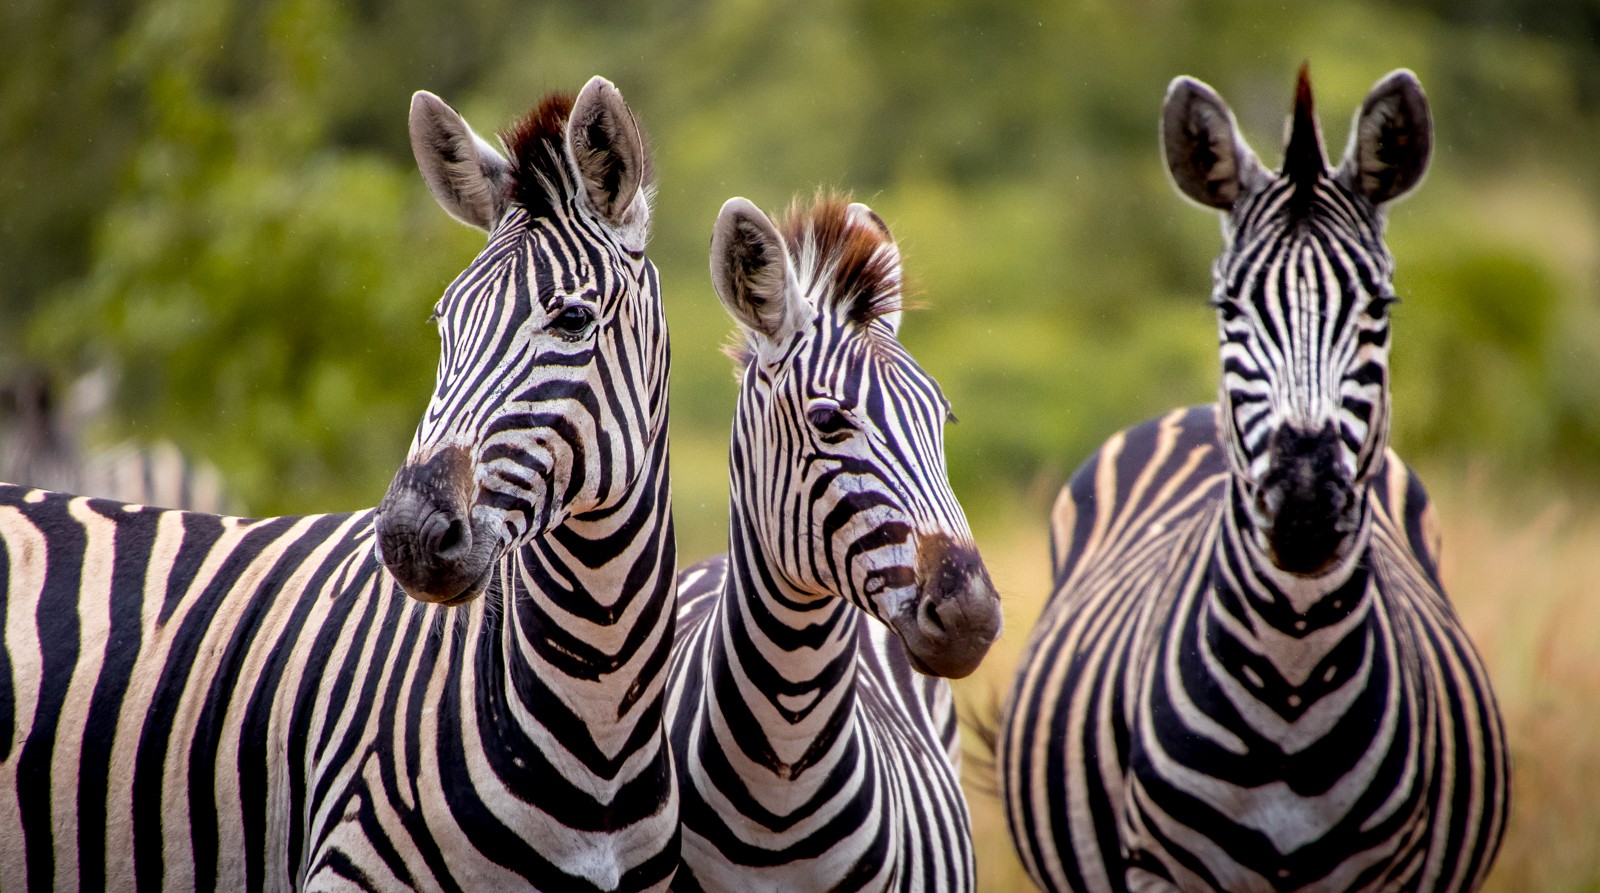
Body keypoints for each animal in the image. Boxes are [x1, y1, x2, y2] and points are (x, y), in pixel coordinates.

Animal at [996, 67, 1509, 893]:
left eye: (1379, 305)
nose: (1304, 504)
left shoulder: (1386, 872)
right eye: (1228, 305)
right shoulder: (1162, 870)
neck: (1291, 675)